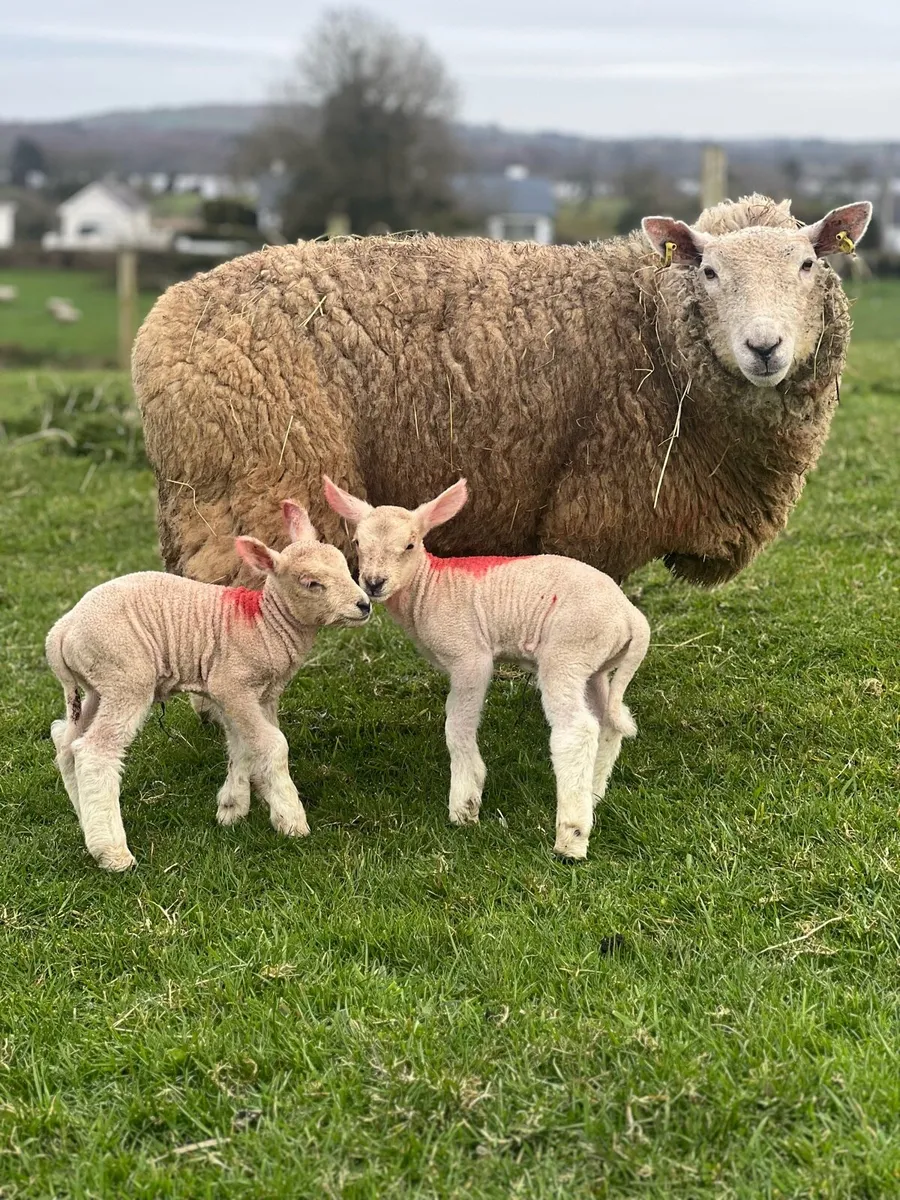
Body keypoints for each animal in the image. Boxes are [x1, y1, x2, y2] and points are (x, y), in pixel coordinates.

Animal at [45, 501, 371, 871]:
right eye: (312, 583)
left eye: (345, 566)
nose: (364, 605)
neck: (266, 624)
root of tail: (61, 632)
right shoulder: (233, 685)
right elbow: (273, 745)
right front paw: (290, 817)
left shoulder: (253, 694)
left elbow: (243, 744)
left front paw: (233, 806)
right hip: (125, 679)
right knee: (94, 752)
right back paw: (112, 852)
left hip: (96, 688)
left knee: (66, 742)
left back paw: (86, 822)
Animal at [133, 194, 872, 592]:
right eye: (710, 272)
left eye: (809, 264)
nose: (764, 348)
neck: (650, 330)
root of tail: (163, 318)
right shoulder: (598, 515)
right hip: (257, 484)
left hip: (205, 502)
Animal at [324, 475, 650, 860]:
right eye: (358, 542)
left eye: (410, 544)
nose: (374, 583)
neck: (428, 588)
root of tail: (630, 616)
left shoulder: (470, 657)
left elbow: (457, 726)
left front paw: (465, 806)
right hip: (593, 665)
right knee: (610, 723)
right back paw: (594, 794)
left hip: (567, 653)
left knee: (577, 730)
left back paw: (571, 837)